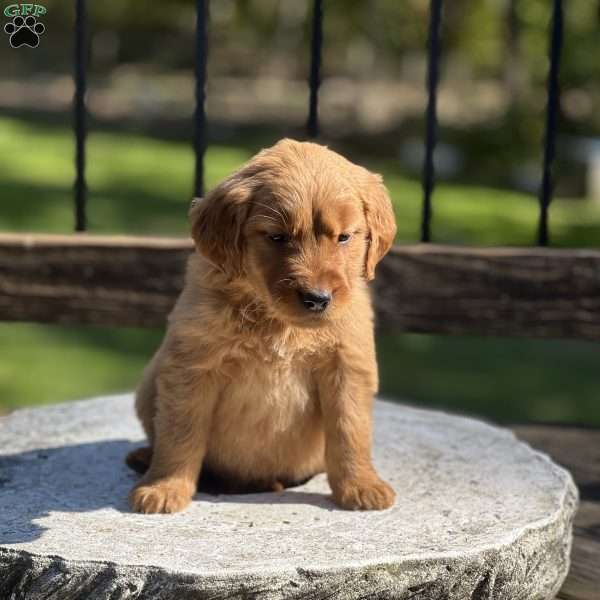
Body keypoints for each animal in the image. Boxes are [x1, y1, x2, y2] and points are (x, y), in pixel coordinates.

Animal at [128, 138, 396, 512]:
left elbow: (350, 429)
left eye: (344, 237)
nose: (317, 299)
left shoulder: (347, 366)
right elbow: (180, 432)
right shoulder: (192, 365)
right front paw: (164, 487)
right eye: (277, 237)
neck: (278, 321)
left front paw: (361, 485)